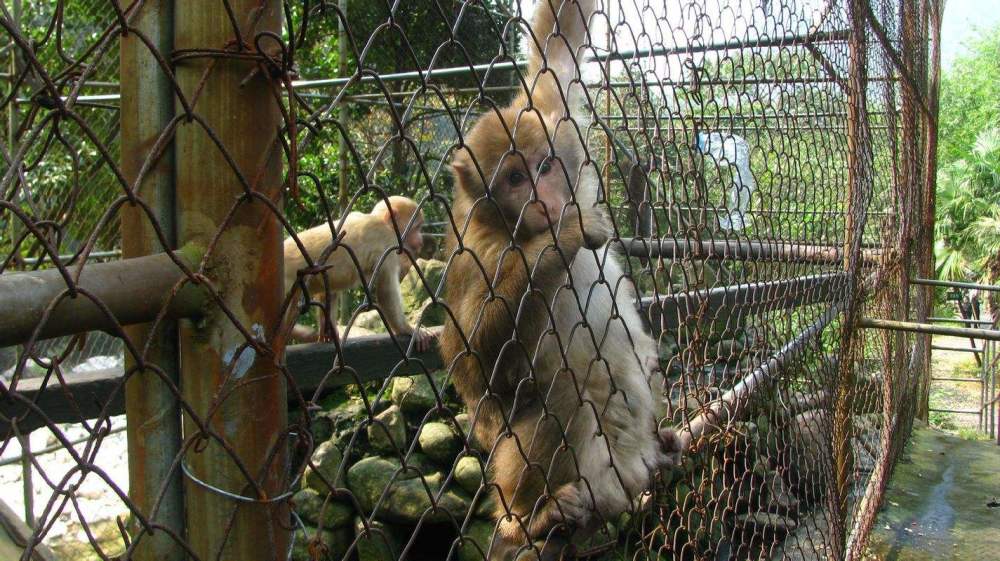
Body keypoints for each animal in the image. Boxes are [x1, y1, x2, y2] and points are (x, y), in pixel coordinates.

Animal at [284, 195, 436, 348]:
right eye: (416, 228)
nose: (420, 240)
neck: (383, 223)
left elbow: (329, 292)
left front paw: (328, 333)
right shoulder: (387, 241)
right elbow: (386, 293)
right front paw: (407, 329)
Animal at [442, 2, 684, 556]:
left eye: (545, 165)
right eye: (514, 178)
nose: (546, 201)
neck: (515, 226)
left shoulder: (550, 111)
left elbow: (559, 45)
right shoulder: (476, 252)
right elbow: (471, 365)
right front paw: (562, 239)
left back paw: (663, 448)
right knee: (565, 392)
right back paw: (527, 521)